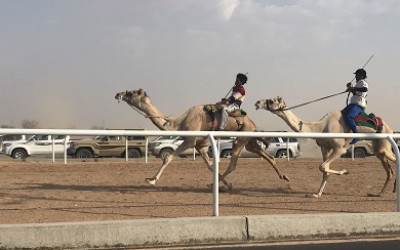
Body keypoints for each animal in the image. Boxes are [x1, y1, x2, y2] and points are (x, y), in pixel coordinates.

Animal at [114, 89, 290, 188]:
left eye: (131, 93)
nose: (118, 94)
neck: (179, 122)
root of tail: (253, 123)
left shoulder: (190, 141)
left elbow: (168, 157)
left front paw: (151, 180)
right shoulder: (200, 146)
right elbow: (211, 166)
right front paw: (226, 184)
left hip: (241, 139)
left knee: (233, 164)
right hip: (249, 141)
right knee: (267, 155)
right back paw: (284, 177)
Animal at [255, 96, 396, 197]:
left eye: (271, 100)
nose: (257, 103)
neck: (320, 127)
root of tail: (389, 128)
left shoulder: (339, 148)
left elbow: (323, 166)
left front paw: (345, 171)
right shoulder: (324, 148)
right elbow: (324, 170)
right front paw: (317, 194)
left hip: (384, 145)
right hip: (379, 149)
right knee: (389, 171)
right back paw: (378, 193)